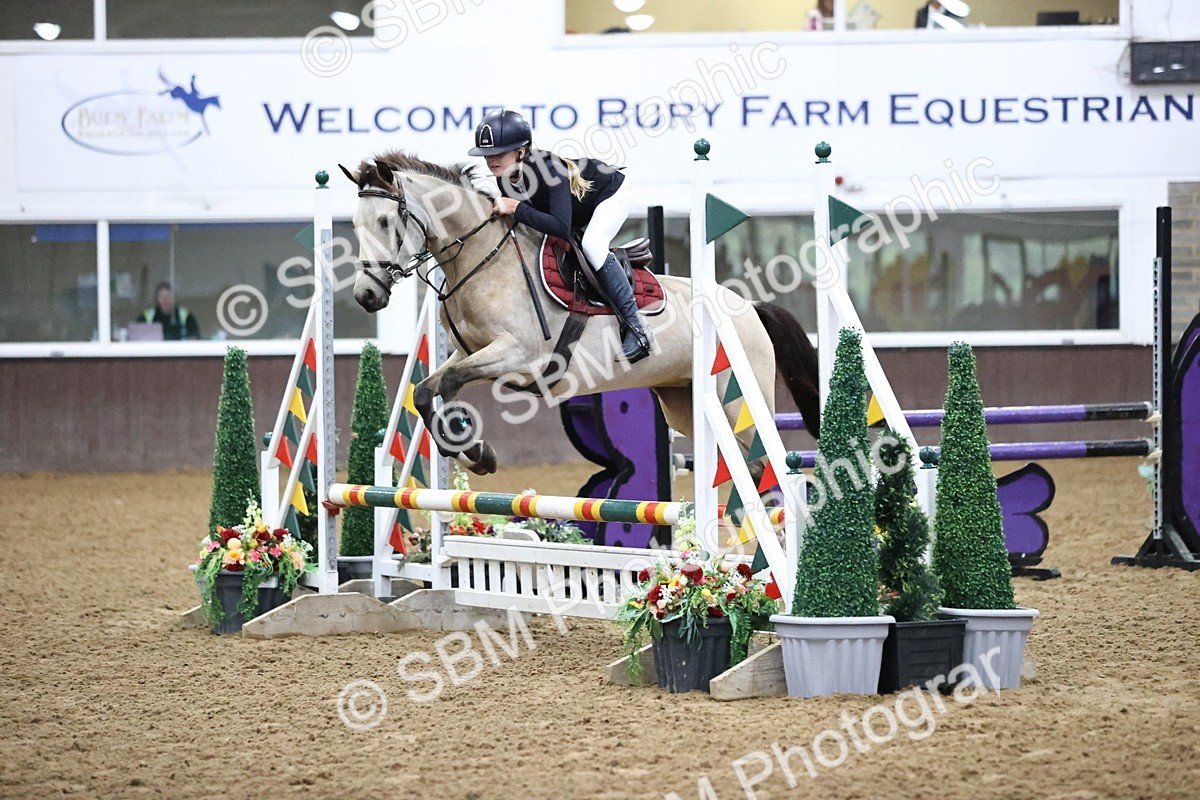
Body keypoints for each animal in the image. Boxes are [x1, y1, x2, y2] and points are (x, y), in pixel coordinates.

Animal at [339, 150, 821, 477]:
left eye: (385, 222)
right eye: (356, 225)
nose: (366, 295)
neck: (481, 257)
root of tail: (749, 308)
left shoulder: (518, 355)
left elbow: (452, 383)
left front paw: (472, 447)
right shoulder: (471, 351)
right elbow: (426, 390)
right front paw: (476, 454)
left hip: (738, 403)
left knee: (768, 468)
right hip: (685, 405)